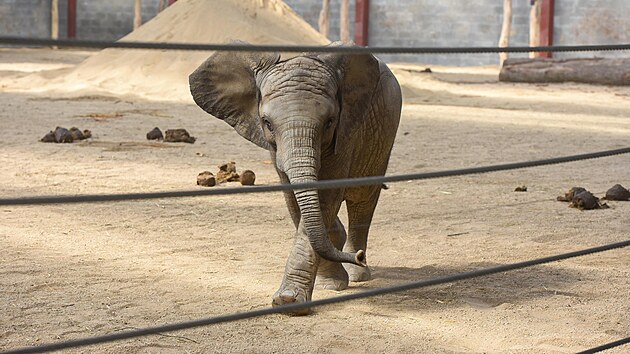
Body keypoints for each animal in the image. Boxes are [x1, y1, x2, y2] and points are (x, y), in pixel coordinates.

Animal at [190, 42, 402, 316]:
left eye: (330, 122)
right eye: (267, 123)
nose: (361, 256)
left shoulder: (345, 133)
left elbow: (325, 198)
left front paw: (290, 301)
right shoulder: (274, 147)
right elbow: (293, 199)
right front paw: (323, 286)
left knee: (362, 198)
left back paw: (358, 274)